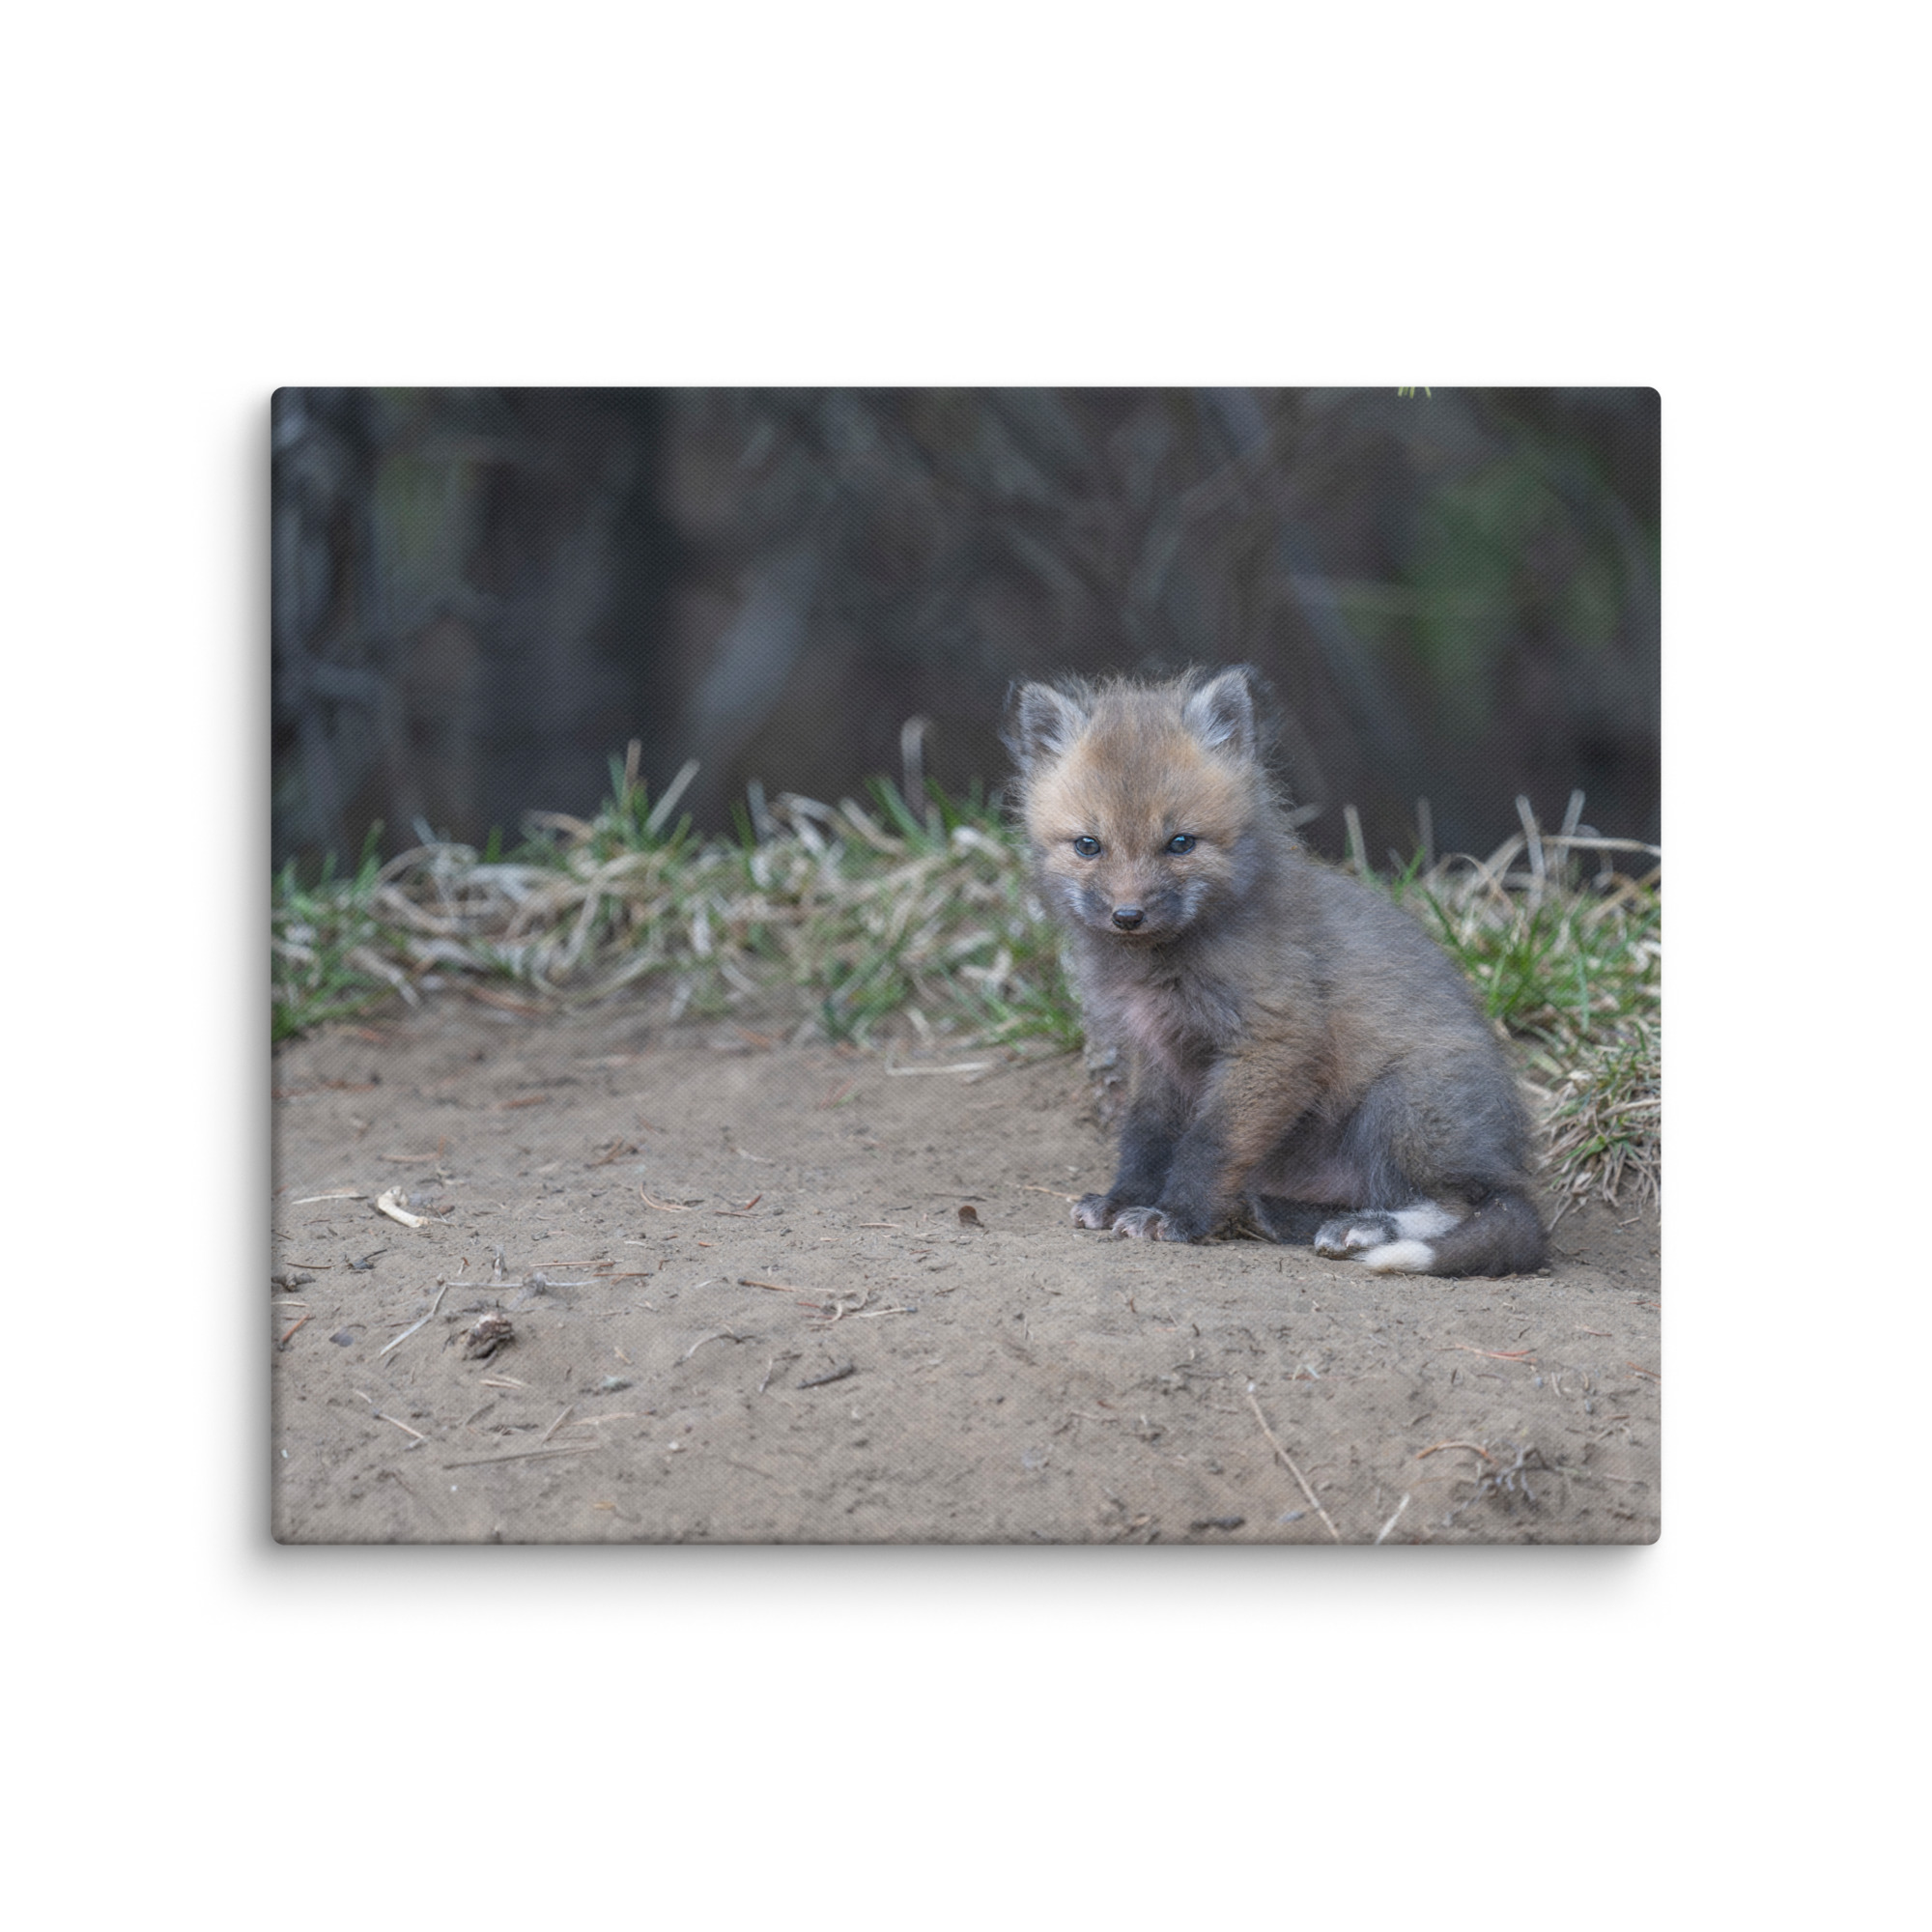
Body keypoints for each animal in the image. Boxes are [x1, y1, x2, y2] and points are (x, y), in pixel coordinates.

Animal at [1003, 665, 1546, 1277]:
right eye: (1088, 845)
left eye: (1180, 843)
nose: (1127, 915)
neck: (1162, 967)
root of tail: (1508, 1160)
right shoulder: (1157, 1053)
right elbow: (1145, 1138)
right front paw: (1125, 1200)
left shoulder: (1273, 1042)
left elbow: (1209, 1144)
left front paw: (1177, 1217)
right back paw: (1284, 1215)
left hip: (1401, 1105)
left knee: (1465, 1204)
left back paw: (1364, 1228)